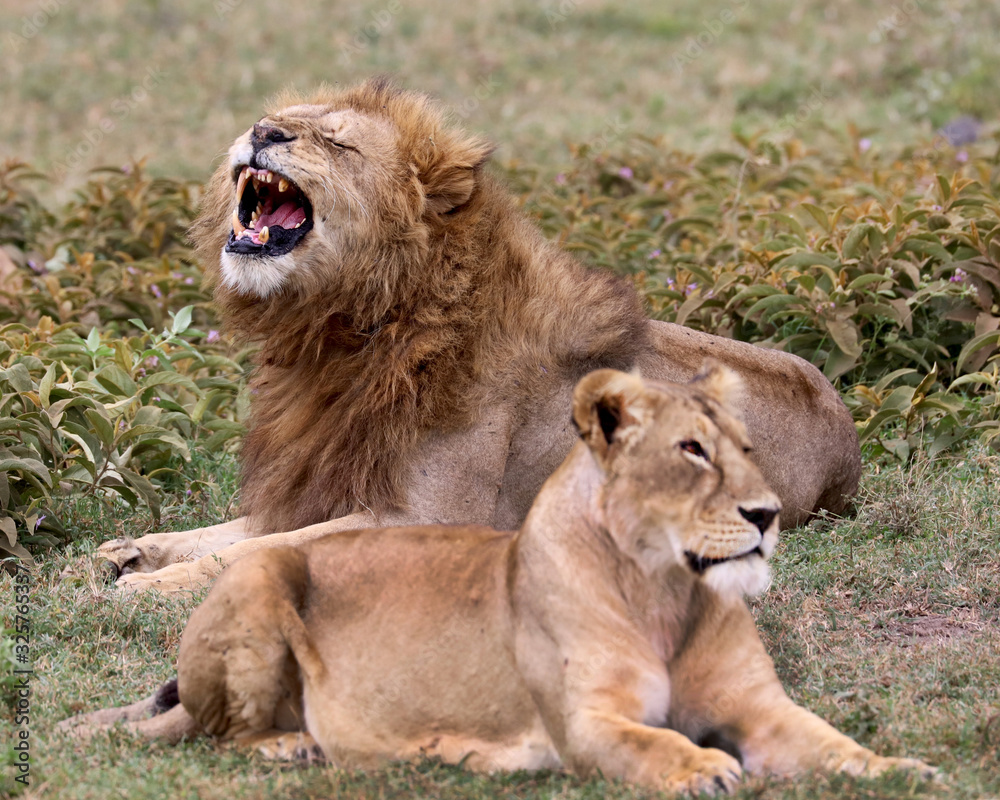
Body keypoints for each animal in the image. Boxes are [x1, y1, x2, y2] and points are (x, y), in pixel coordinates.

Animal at [66, 367, 932, 794]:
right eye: (690, 452)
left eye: (745, 450)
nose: (765, 513)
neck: (669, 596)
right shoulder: (586, 723)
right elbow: (652, 740)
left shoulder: (763, 713)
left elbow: (835, 745)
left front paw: (904, 770)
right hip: (260, 597)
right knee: (217, 728)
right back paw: (297, 745)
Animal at [99, 78, 861, 593]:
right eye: (275, 122)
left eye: (335, 141)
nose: (261, 132)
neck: (346, 336)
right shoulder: (323, 487)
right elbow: (234, 534)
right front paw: (132, 551)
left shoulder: (427, 521)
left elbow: (259, 551)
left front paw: (144, 588)